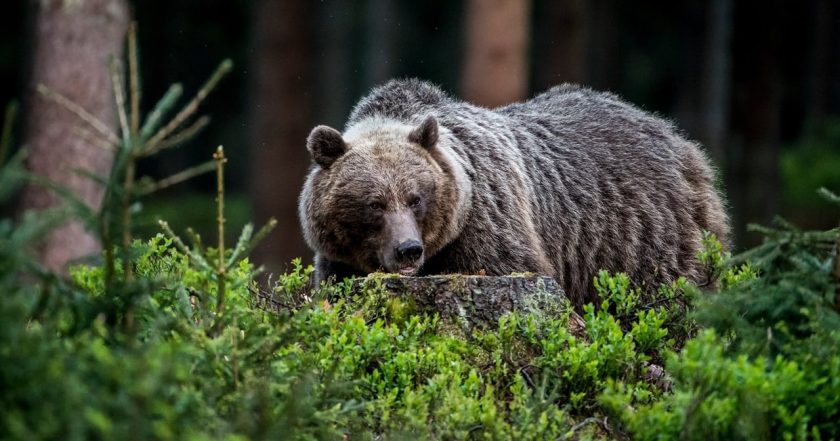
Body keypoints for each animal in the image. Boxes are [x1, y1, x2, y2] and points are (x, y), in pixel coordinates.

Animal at [300, 79, 728, 306]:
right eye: (374, 203)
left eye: (416, 198)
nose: (409, 250)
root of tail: (674, 134)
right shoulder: (340, 261)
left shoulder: (488, 224)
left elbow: (511, 264)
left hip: (642, 235)